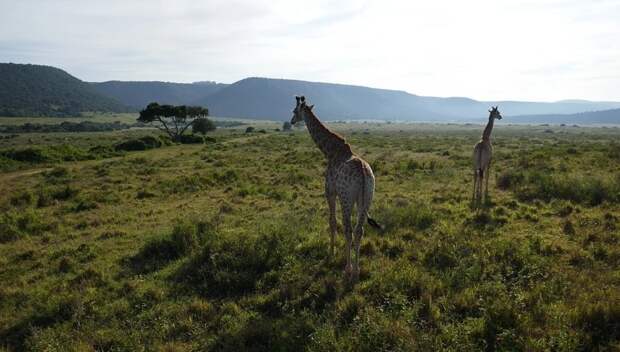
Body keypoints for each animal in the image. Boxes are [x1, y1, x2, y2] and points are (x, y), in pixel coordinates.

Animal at [292, 95, 382, 280]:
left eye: (294, 110)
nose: (291, 121)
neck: (330, 151)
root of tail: (363, 173)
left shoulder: (330, 192)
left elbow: (332, 222)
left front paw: (331, 253)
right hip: (366, 198)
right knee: (359, 230)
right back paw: (357, 269)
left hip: (347, 198)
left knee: (348, 229)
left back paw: (348, 268)